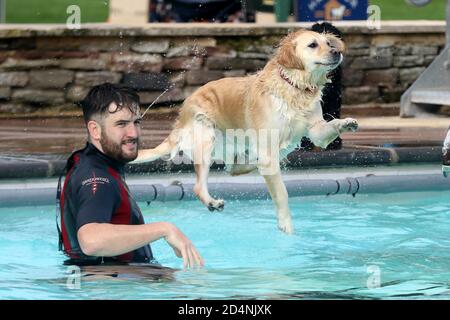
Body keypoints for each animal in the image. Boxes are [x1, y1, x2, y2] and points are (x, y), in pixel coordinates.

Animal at [134, 30, 358, 234]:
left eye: (328, 43)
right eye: (313, 45)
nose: (337, 51)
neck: (294, 85)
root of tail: (182, 113)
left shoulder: (315, 129)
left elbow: (326, 129)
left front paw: (346, 123)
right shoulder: (268, 148)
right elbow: (282, 194)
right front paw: (286, 226)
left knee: (234, 168)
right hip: (206, 136)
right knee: (201, 184)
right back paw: (212, 202)